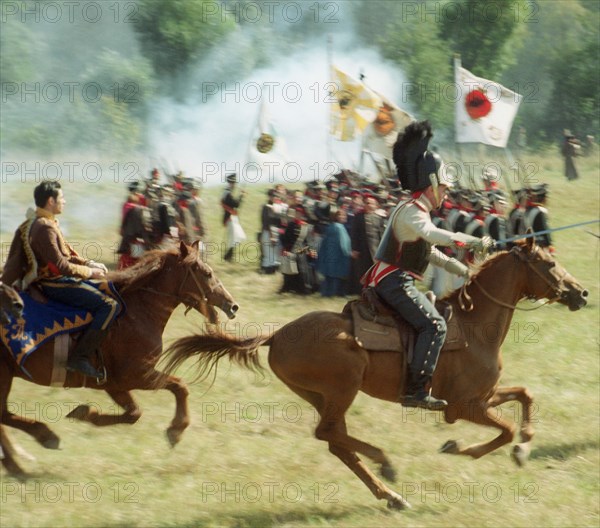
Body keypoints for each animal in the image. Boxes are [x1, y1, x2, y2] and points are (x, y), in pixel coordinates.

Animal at [0, 241, 239, 476]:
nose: (232, 305)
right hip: (5, 376)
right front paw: (176, 430)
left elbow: (134, 413)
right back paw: (43, 438)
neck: (137, 311)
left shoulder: (114, 384)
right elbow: (179, 387)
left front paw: (85, 413)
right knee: (4, 416)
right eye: (207, 273)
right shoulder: (136, 376)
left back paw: (15, 464)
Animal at [159, 240, 584, 512]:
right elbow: (504, 430)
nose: (580, 293)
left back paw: (390, 495)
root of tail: (277, 334)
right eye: (548, 264)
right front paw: (462, 448)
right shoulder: (463, 407)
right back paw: (386, 463)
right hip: (343, 387)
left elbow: (525, 395)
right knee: (329, 434)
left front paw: (524, 445)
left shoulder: (483, 397)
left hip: (323, 396)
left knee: (336, 441)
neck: (475, 324)